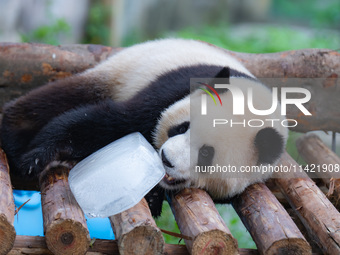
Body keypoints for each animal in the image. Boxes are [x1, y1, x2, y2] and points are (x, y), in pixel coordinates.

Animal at [0, 38, 286, 216]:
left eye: (206, 153)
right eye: (182, 128)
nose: (166, 158)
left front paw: (152, 197)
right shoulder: (171, 90)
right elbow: (109, 120)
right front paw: (38, 157)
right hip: (120, 72)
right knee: (57, 99)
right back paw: (13, 132)